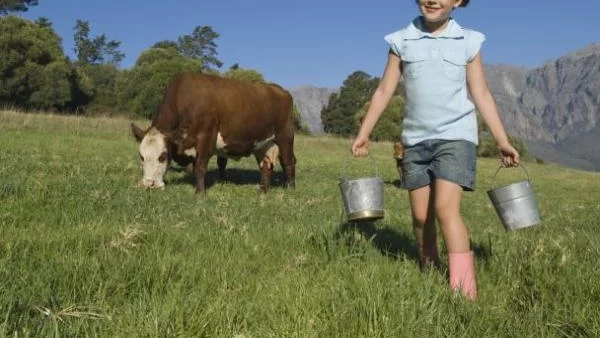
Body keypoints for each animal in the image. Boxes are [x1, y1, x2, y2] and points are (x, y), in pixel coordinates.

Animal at [133, 72, 298, 193]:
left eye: (162, 156)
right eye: (141, 156)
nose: (148, 184)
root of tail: (280, 90)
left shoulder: (205, 136)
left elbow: (200, 167)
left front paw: (200, 193)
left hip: (285, 137)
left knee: (288, 162)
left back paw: (290, 188)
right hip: (263, 143)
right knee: (266, 165)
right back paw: (262, 190)